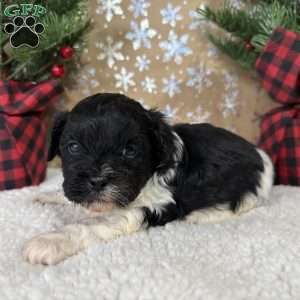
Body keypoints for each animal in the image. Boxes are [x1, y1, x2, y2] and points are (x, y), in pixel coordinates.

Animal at [22, 92, 274, 264]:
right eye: (73, 147)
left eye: (130, 151)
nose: (98, 181)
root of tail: (260, 155)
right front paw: (47, 195)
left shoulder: (157, 205)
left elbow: (99, 222)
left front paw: (51, 240)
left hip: (249, 187)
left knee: (243, 202)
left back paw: (203, 214)